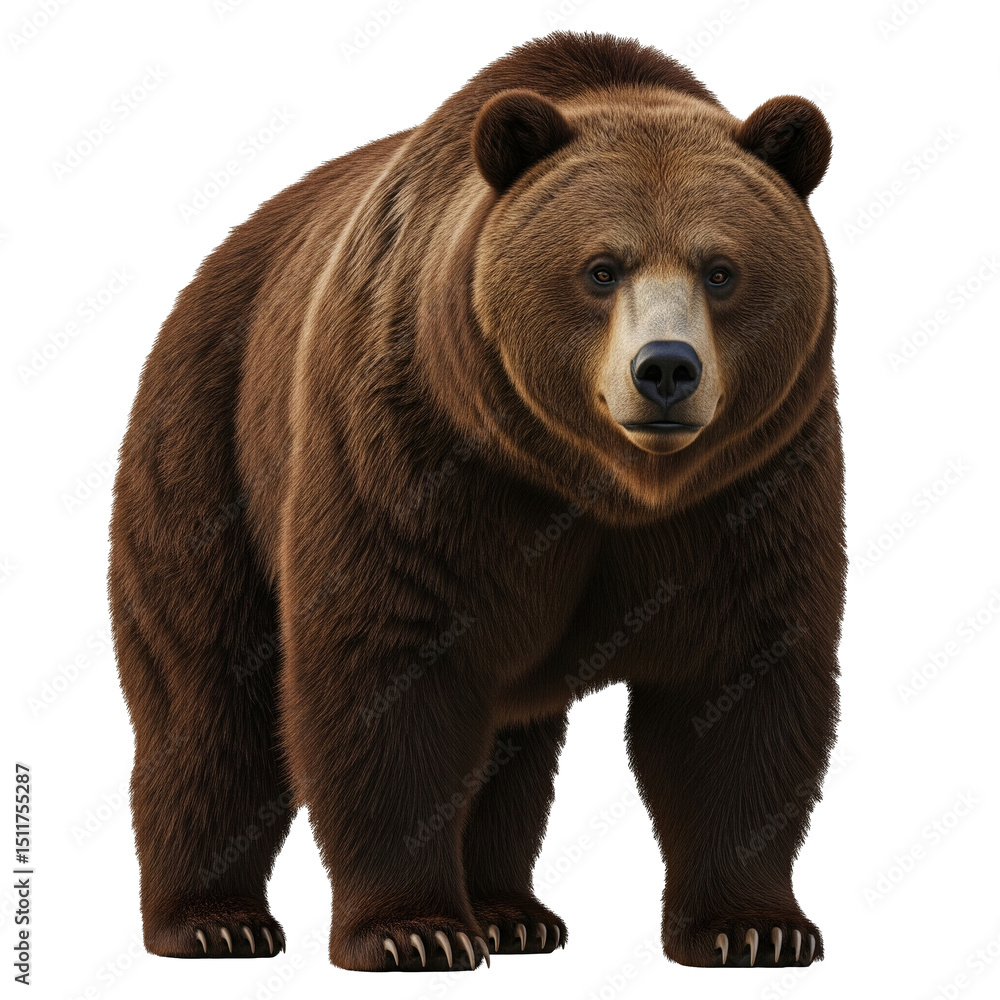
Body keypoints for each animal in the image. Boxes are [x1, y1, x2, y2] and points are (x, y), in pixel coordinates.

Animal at [109, 31, 844, 972]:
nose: (666, 370)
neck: (598, 482)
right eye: (601, 268)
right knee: (209, 697)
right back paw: (213, 921)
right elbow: (387, 663)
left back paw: (511, 911)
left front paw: (754, 926)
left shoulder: (754, 484)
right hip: (210, 449)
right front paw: (412, 930)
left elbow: (740, 677)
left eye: (720, 269)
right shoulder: (416, 447)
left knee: (510, 740)